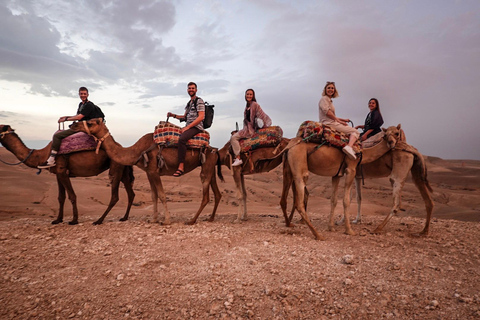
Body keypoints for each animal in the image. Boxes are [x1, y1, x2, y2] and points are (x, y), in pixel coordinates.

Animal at [0, 124, 135, 224]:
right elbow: (61, 197)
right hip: (123, 169)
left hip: (116, 167)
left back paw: (99, 220)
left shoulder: (62, 171)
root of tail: (122, 148)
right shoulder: (58, 174)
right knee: (131, 193)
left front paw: (74, 220)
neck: (42, 155)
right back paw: (124, 217)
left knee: (115, 196)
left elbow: (72, 195)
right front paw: (58, 219)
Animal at [70, 118, 223, 225]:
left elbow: (162, 195)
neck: (136, 151)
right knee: (217, 193)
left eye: (90, 123)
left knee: (206, 196)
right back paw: (210, 218)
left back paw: (191, 220)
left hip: (206, 165)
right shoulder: (149, 172)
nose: (72, 125)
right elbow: (153, 196)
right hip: (210, 166)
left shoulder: (154, 171)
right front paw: (154, 219)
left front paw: (166, 221)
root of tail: (215, 150)